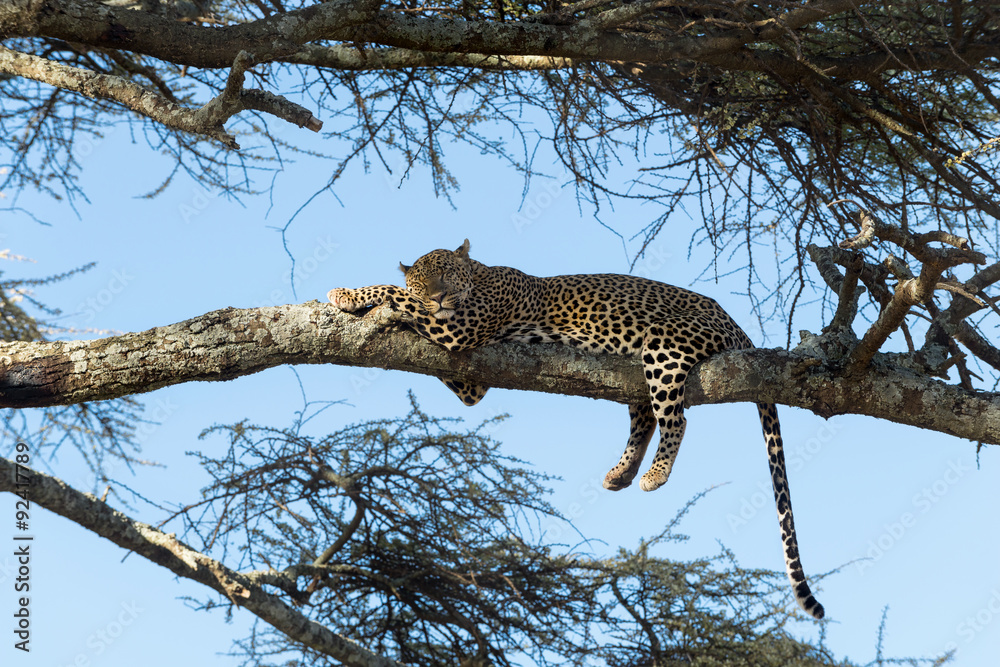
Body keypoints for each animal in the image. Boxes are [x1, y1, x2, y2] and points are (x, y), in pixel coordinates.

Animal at [328, 239, 825, 620]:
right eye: (425, 279)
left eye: (446, 273)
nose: (439, 297)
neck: (482, 276)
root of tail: (737, 326)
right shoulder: (471, 380)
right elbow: (407, 304)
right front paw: (370, 300)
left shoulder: (460, 329)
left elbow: (394, 292)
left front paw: (347, 294)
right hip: (636, 373)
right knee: (645, 416)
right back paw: (621, 473)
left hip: (665, 346)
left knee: (675, 418)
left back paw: (655, 474)